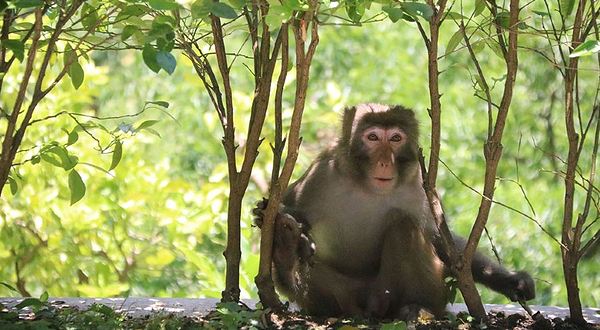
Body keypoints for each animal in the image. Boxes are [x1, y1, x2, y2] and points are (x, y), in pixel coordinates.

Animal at [255, 104, 536, 320]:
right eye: (372, 137)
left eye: (395, 139)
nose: (384, 162)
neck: (369, 188)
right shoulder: (321, 173)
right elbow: (288, 202)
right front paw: (271, 215)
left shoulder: (421, 187)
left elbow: (441, 241)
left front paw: (510, 280)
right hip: (341, 296)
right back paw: (286, 251)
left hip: (408, 292)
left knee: (404, 225)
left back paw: (417, 307)